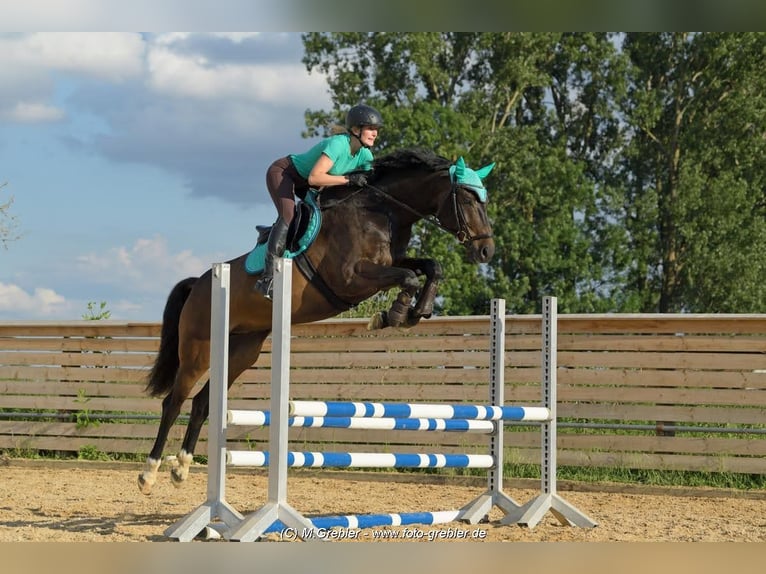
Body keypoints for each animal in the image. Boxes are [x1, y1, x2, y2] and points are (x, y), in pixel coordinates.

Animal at [137, 147, 496, 495]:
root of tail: (199, 282)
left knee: (202, 403)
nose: (486, 252)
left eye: (483, 199)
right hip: (198, 351)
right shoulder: (352, 278)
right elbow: (408, 277)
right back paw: (149, 474)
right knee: (173, 402)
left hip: (240, 352)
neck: (381, 213)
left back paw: (181, 469)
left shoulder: (391, 263)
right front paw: (392, 314)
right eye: (467, 199)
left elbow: (431, 267)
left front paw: (416, 312)